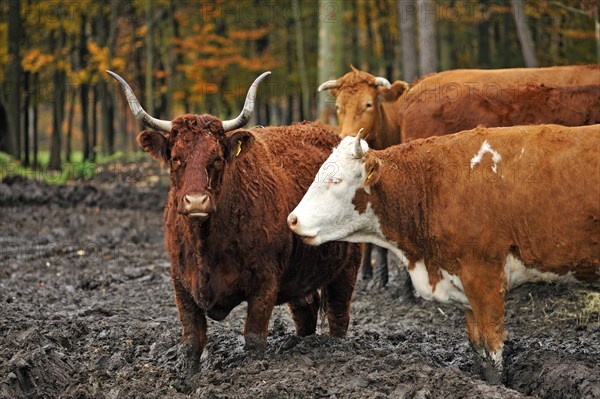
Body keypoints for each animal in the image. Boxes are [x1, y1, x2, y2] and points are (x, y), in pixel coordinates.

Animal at [108, 69, 358, 372]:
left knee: (338, 315)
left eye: (216, 158)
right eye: (176, 158)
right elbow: (192, 342)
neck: (206, 244)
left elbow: (254, 337)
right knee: (305, 315)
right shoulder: (181, 285)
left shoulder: (264, 282)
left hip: (347, 266)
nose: (196, 201)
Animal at [288, 123, 596, 382]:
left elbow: (493, 348)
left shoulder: (485, 279)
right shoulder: (463, 284)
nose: (292, 219)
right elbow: (478, 348)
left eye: (337, 180)